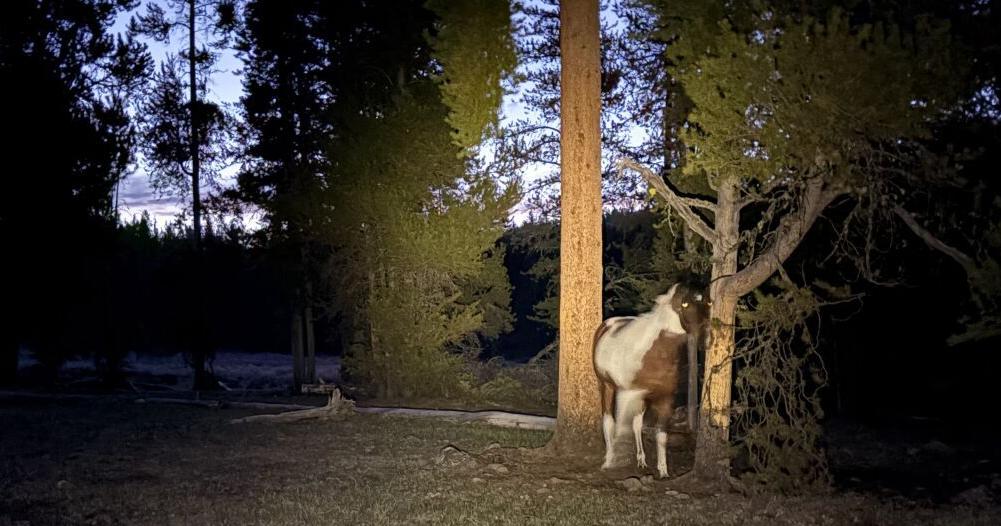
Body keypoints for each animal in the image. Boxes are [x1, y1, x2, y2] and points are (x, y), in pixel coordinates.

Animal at [592, 282, 709, 478]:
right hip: (607, 386)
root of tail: (607, 324)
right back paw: (608, 459)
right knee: (608, 421)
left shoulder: (665, 399)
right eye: (685, 304)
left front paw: (663, 471)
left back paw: (641, 461)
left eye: (708, 303)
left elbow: (661, 435)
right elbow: (620, 427)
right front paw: (616, 461)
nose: (706, 338)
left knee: (636, 424)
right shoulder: (627, 394)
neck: (655, 353)